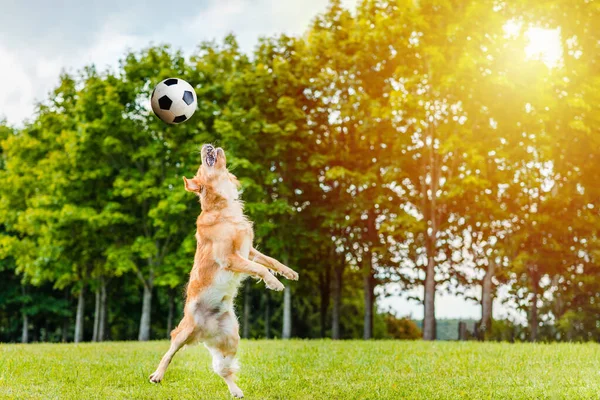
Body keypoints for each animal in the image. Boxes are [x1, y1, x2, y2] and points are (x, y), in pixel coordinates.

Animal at [148, 145, 298, 396]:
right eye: (201, 165)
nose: (206, 145)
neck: (223, 207)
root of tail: (203, 332)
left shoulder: (248, 251)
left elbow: (270, 261)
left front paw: (288, 272)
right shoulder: (229, 257)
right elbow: (260, 268)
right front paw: (274, 283)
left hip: (230, 338)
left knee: (222, 369)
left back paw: (235, 391)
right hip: (184, 331)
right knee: (170, 352)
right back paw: (157, 375)